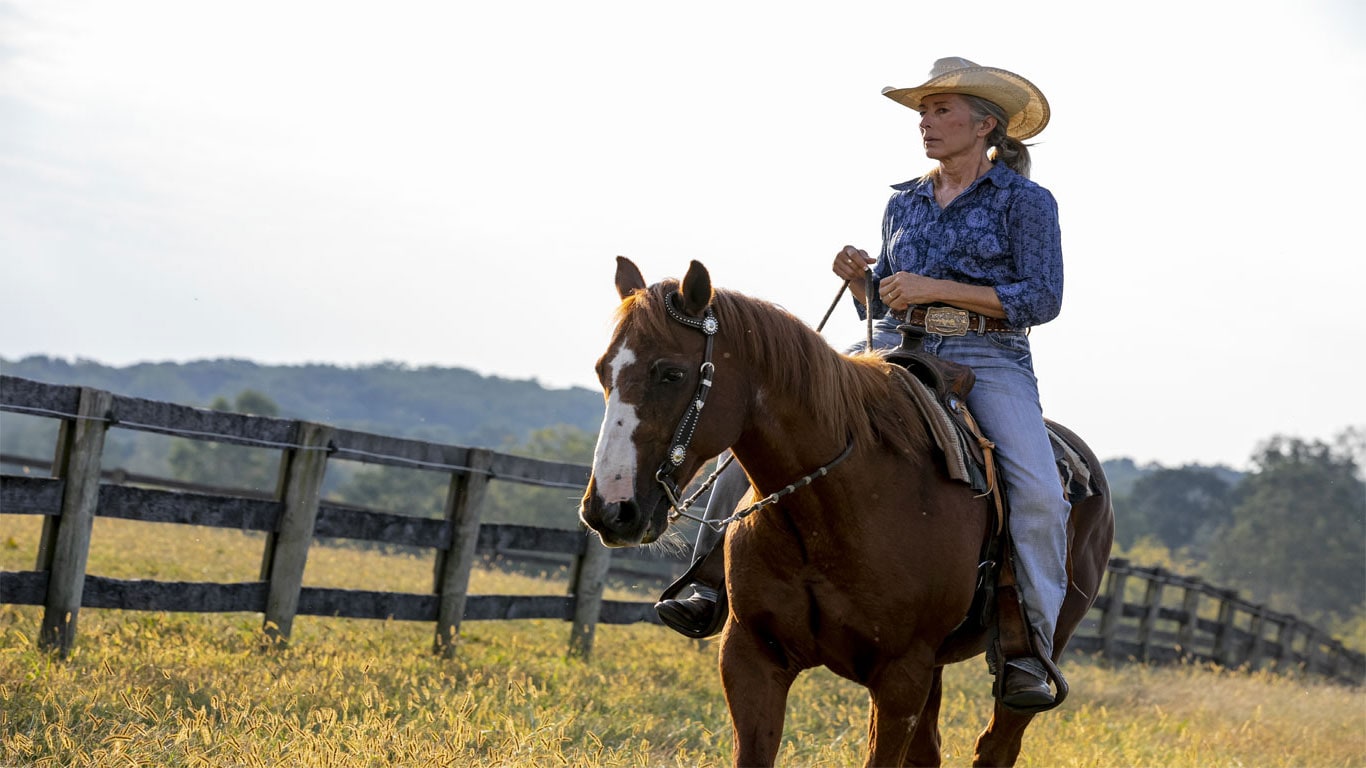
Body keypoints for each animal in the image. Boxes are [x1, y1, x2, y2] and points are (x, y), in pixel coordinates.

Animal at [576, 258, 1109, 765]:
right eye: (603, 371)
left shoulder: (901, 678)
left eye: (672, 373)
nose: (609, 509)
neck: (834, 508)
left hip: (1023, 667)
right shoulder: (750, 656)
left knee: (997, 745)